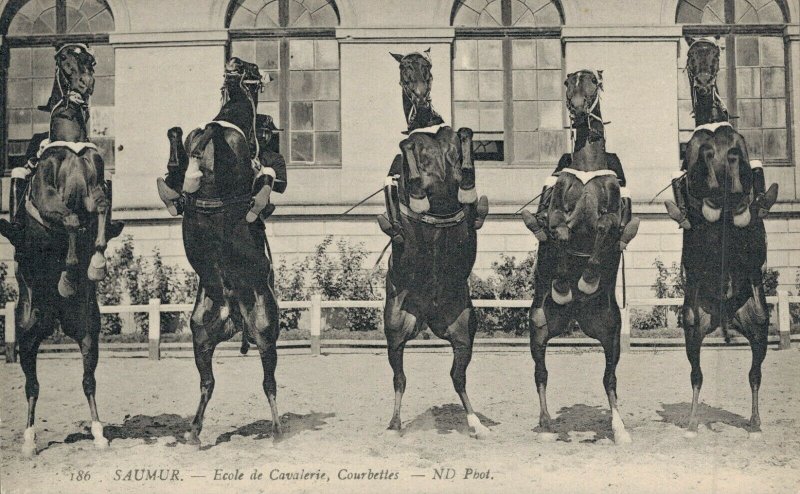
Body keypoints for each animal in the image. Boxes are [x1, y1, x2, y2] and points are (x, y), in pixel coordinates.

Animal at [3, 44, 114, 458]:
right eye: (65, 61)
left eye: (90, 60)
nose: (86, 83)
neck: (72, 143)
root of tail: (54, 321)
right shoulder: (49, 198)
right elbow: (67, 219)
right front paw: (69, 274)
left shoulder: (97, 188)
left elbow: (98, 209)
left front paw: (96, 261)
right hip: (27, 335)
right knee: (32, 386)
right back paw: (29, 441)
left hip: (87, 331)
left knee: (88, 381)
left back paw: (99, 433)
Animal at [155, 58, 282, 448]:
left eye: (250, 69)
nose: (233, 63)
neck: (228, 118)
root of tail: (234, 310)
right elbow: (179, 147)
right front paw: (179, 182)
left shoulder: (232, 156)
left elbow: (235, 158)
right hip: (201, 335)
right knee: (208, 384)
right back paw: (194, 432)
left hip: (265, 332)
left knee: (268, 383)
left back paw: (277, 430)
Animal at [380, 49, 490, 436]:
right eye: (403, 70)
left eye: (427, 68)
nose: (422, 98)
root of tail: (428, 314)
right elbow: (407, 152)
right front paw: (415, 192)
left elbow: (465, 137)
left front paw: (469, 183)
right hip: (395, 330)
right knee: (399, 379)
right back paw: (394, 423)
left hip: (463, 329)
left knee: (458, 377)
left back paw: (476, 424)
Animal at [524, 69, 636, 444]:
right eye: (568, 81)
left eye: (592, 82)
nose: (576, 108)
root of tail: (575, 319)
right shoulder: (558, 215)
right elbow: (559, 235)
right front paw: (563, 285)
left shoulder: (612, 219)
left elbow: (602, 233)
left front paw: (587, 281)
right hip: (540, 329)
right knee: (541, 374)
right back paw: (546, 424)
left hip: (611, 334)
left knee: (609, 378)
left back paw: (619, 428)